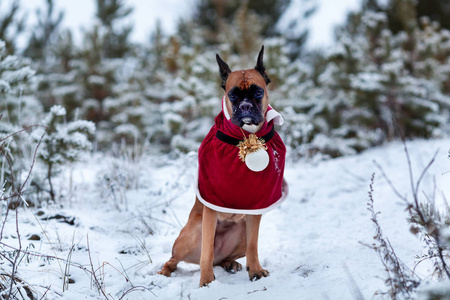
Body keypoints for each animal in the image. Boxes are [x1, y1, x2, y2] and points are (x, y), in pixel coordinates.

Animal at [157, 45, 288, 288]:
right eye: (233, 94)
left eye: (257, 92)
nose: (245, 106)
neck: (246, 137)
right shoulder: (210, 210)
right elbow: (206, 251)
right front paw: (207, 282)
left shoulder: (255, 212)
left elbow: (253, 245)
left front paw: (255, 270)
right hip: (189, 237)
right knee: (177, 258)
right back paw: (165, 271)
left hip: (241, 234)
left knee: (225, 256)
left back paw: (230, 263)